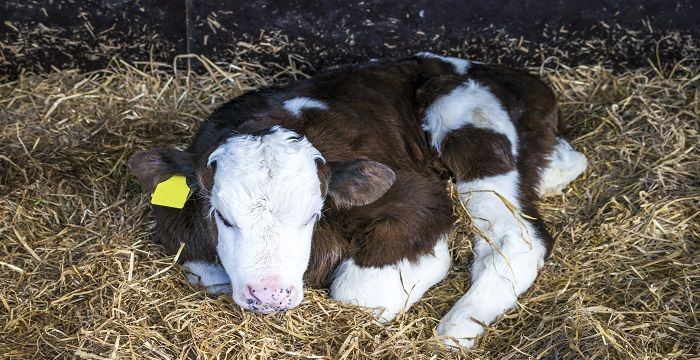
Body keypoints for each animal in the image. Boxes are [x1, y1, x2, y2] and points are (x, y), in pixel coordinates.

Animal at [130, 52, 584, 348]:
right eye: (222, 216)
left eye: (312, 214)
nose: (271, 294)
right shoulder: (176, 227)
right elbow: (207, 273)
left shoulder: (419, 194)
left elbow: (359, 293)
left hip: (470, 125)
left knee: (516, 238)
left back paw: (455, 330)